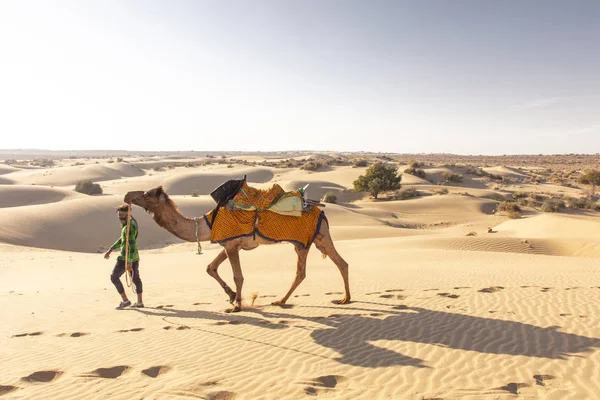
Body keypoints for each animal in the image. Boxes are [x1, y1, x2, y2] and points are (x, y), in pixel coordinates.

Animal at [125, 185, 352, 312]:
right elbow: (210, 267)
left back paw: (280, 300)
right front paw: (232, 295)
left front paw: (237, 305)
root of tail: (322, 212)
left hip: (304, 241)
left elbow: (238, 276)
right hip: (318, 239)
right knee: (341, 263)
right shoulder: (228, 243)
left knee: (301, 272)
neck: (207, 224)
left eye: (147, 194)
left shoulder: (232, 245)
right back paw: (345, 299)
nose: (127, 196)